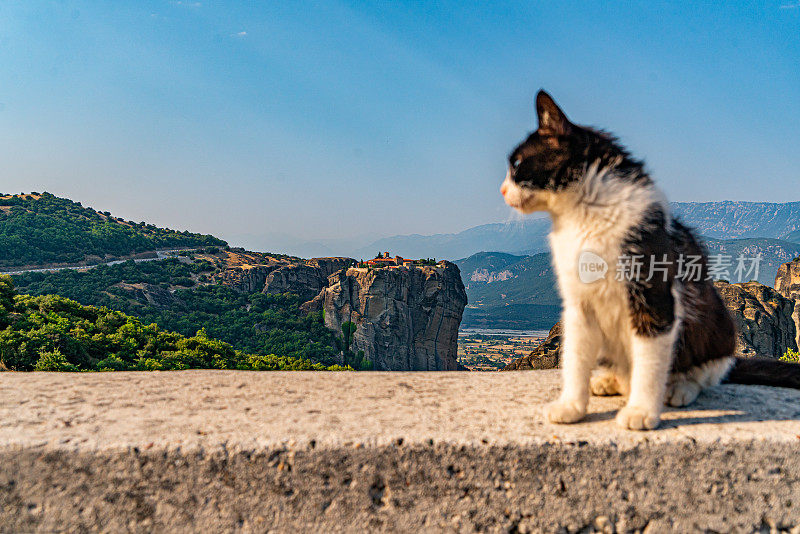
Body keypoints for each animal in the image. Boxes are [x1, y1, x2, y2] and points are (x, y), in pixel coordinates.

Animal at [500, 89, 800, 432]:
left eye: (518, 163)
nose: (502, 190)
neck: (583, 216)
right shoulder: (578, 303)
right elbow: (574, 358)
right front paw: (571, 407)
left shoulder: (653, 295)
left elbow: (650, 359)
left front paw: (641, 411)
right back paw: (610, 381)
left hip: (718, 323)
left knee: (708, 371)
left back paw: (679, 388)